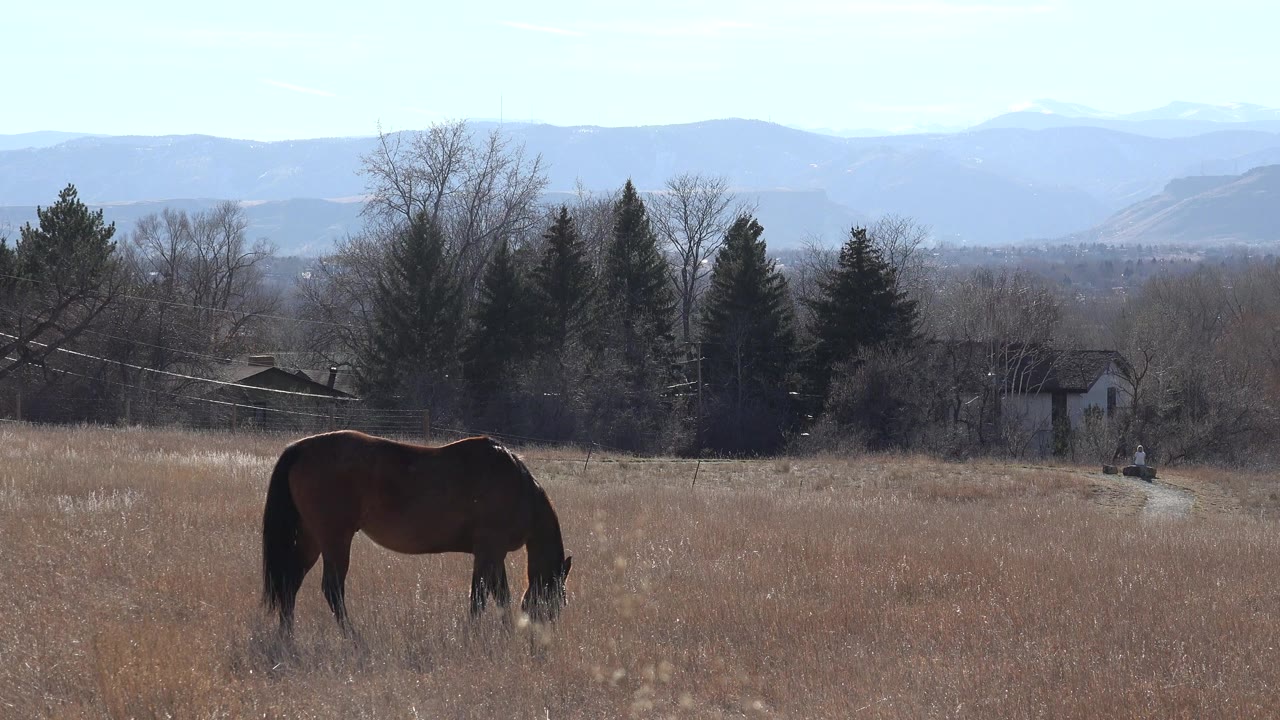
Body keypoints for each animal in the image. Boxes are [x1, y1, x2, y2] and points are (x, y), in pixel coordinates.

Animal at [260, 430, 572, 633]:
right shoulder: (489, 550)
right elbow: (483, 596)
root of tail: (301, 448)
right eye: (557, 601)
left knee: (290, 583)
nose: (541, 636)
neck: (517, 487)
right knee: (332, 589)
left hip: (312, 539)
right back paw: (353, 637)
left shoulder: (493, 554)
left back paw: (287, 637)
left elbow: (495, 595)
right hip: (335, 539)